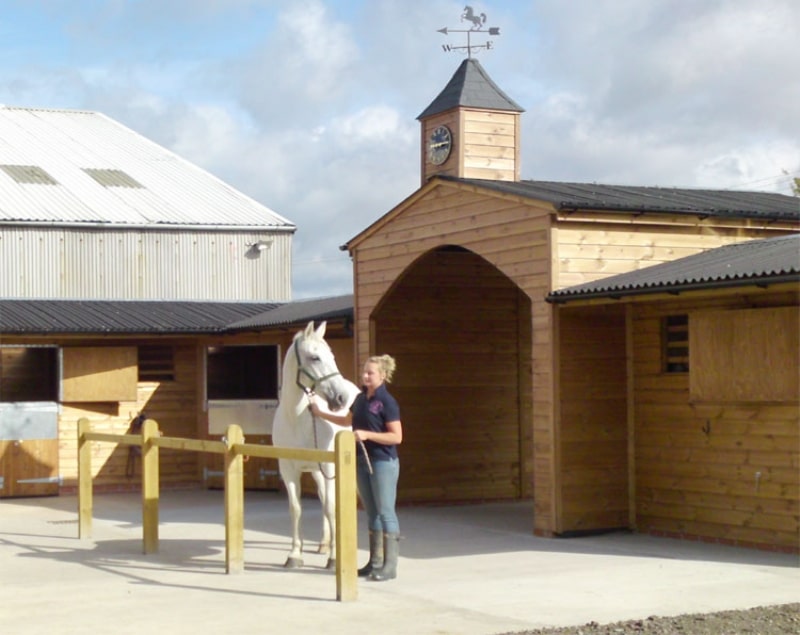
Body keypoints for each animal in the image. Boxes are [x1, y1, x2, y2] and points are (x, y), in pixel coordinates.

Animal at [272, 322, 360, 572]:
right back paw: (323, 544)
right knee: (322, 497)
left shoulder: (331, 466)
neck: (297, 418)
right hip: (316, 471)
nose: (341, 398)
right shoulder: (288, 468)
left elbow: (332, 507)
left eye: (331, 355)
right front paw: (294, 555)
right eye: (315, 357)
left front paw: (334, 559)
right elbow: (296, 508)